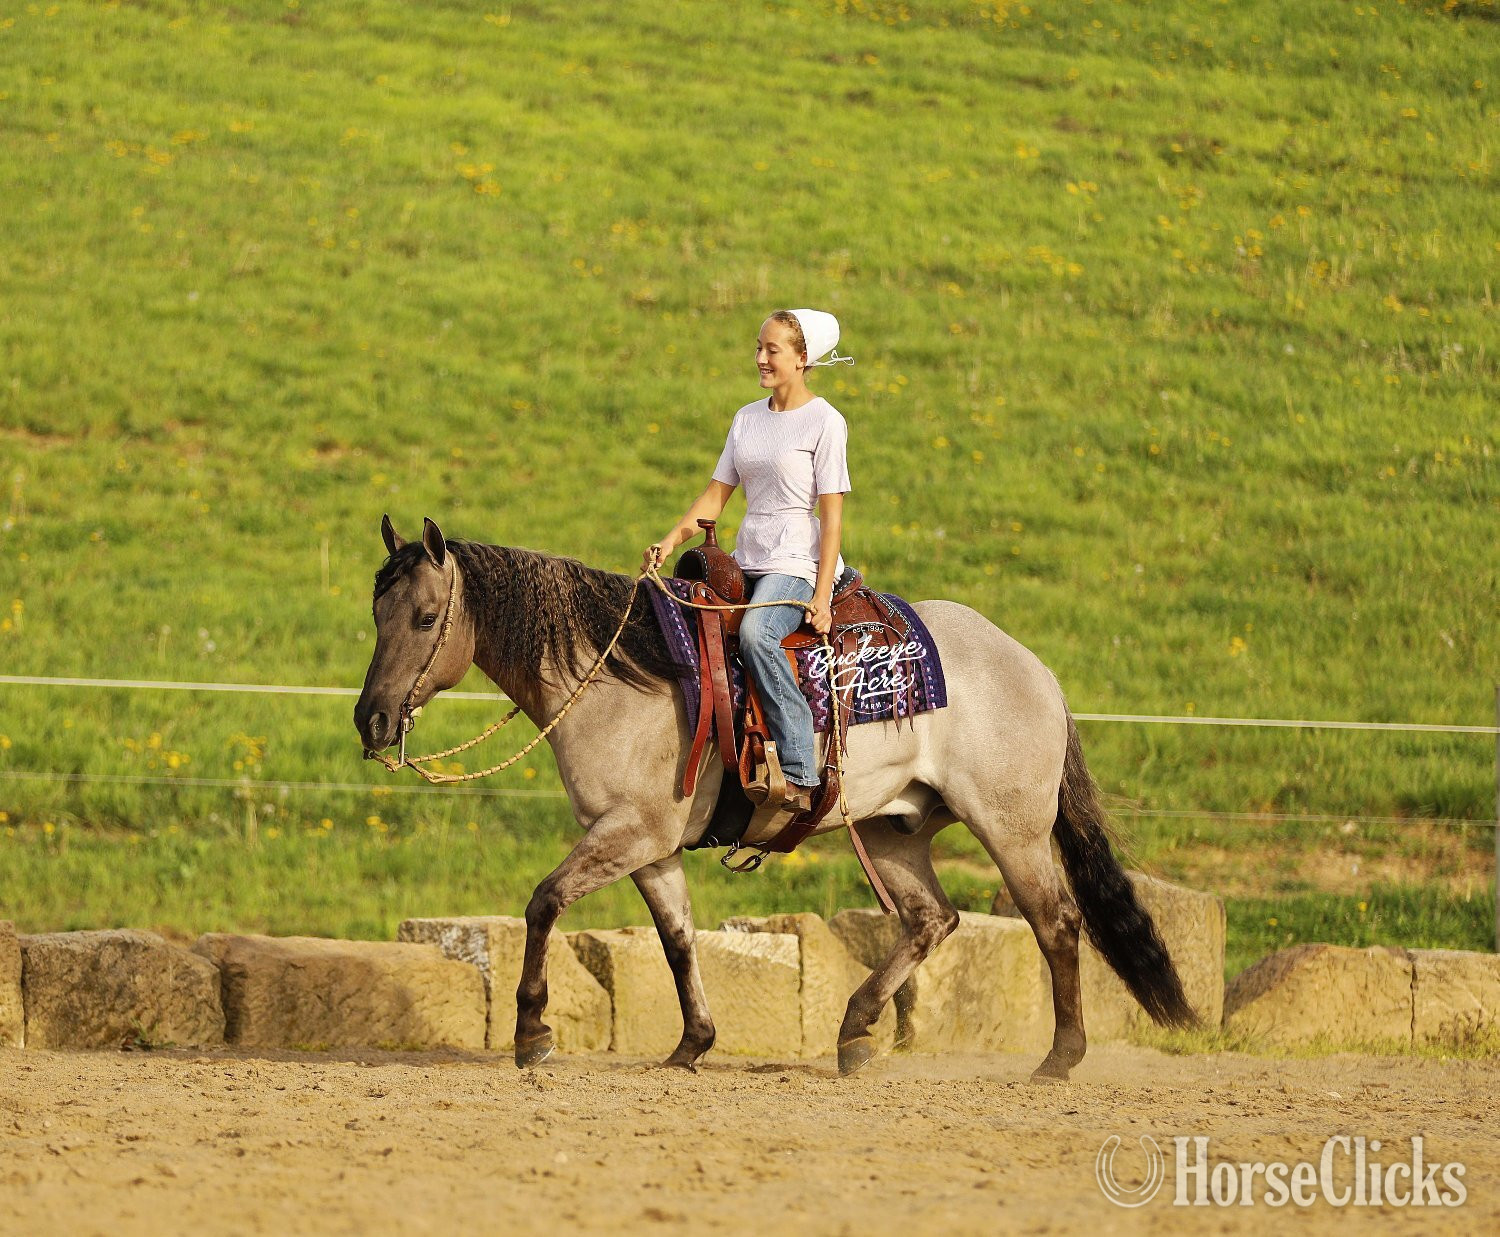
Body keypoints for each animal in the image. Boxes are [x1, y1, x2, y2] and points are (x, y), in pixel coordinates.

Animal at [354, 516, 1196, 1079]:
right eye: (376, 613)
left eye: (424, 617)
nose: (372, 720)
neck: (622, 674)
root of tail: (1035, 669)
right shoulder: (648, 845)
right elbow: (677, 939)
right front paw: (692, 1043)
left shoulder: (631, 829)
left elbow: (544, 901)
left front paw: (532, 1031)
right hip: (892, 828)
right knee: (932, 919)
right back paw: (855, 1031)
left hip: (1011, 826)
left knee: (1055, 922)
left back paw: (1060, 1056)